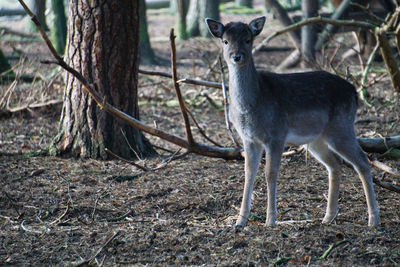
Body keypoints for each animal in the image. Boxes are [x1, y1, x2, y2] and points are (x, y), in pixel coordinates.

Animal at [205, 16, 380, 228]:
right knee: (335, 165)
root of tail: (355, 92)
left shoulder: (276, 135)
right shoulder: (248, 139)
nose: (236, 56)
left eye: (248, 40)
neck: (251, 107)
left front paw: (270, 220)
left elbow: (270, 173)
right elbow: (248, 173)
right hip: (317, 140)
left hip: (341, 128)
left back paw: (373, 219)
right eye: (225, 41)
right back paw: (328, 217)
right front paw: (239, 221)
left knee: (363, 161)